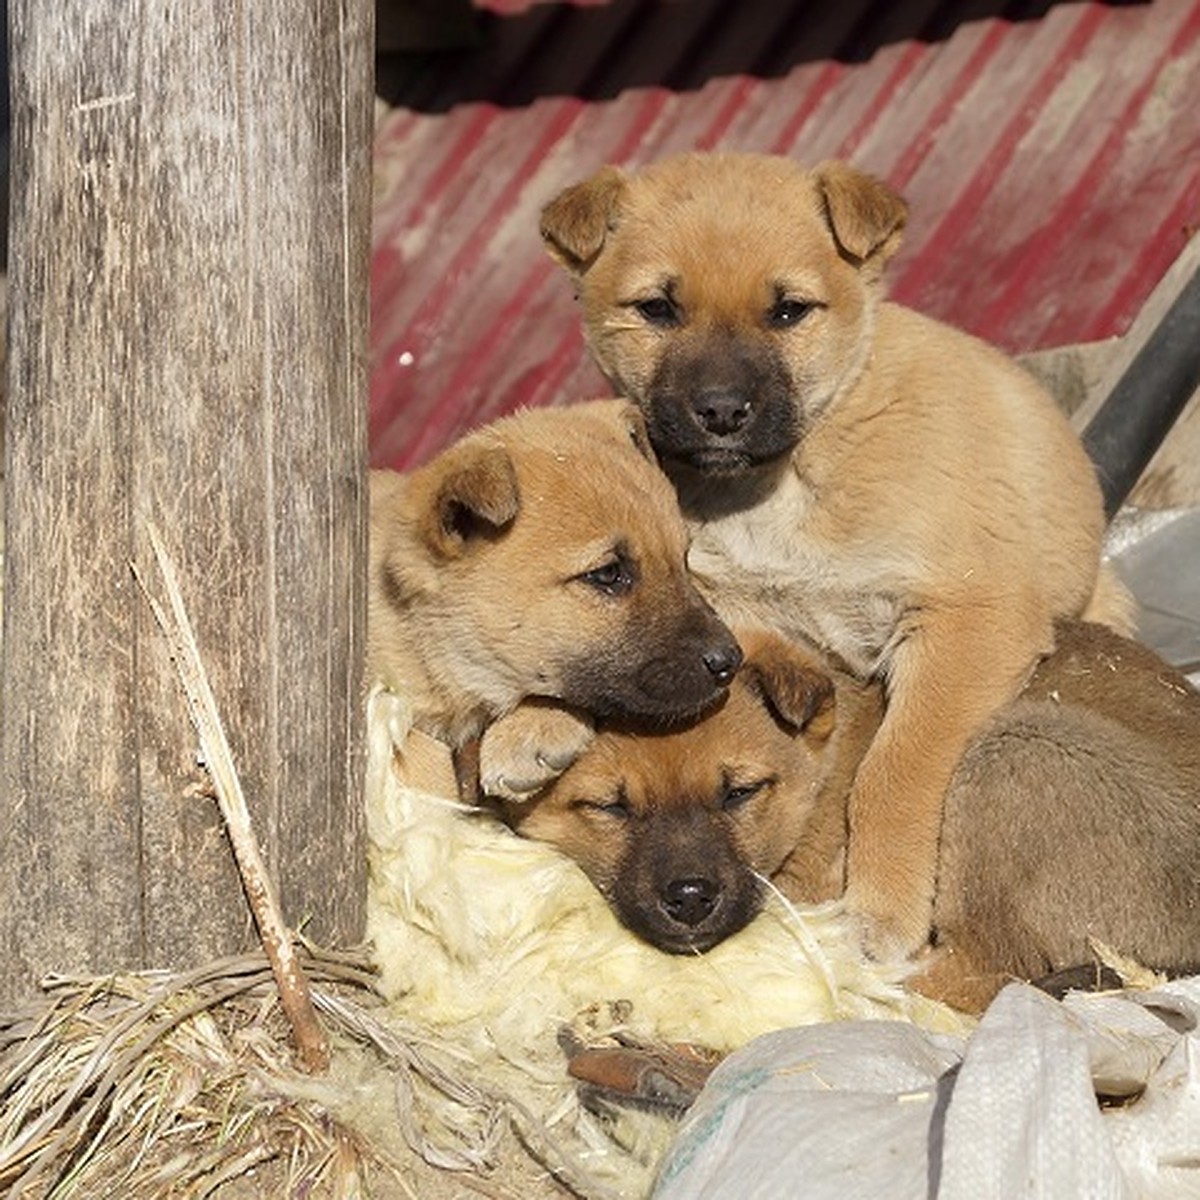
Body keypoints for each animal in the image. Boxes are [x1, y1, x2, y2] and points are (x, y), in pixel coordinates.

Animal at [496, 624, 1200, 1017]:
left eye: (740, 792)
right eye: (610, 805)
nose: (692, 899)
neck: (822, 783)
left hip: (1021, 747)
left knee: (978, 976)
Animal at [544, 152, 1132, 955]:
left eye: (789, 311)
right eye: (657, 309)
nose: (721, 411)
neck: (779, 483)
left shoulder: (969, 619)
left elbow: (894, 768)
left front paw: (879, 913)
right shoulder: (740, 618)